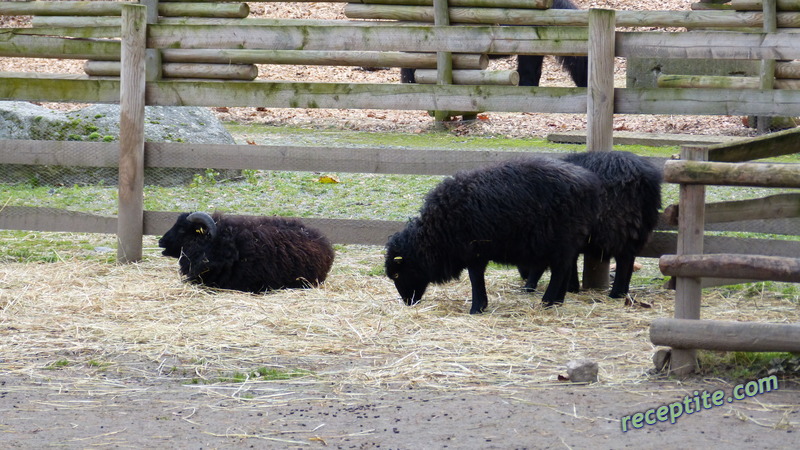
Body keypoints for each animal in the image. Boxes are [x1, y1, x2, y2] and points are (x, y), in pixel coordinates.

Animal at [382, 157, 600, 312]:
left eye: (397, 273)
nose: (408, 302)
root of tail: (587, 182)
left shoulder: (474, 251)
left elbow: (475, 278)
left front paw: (477, 307)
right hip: (568, 240)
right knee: (567, 267)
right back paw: (558, 300)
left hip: (561, 239)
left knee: (560, 270)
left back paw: (547, 301)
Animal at [520, 151, 664, 298]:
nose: (524, 275)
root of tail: (644, 176)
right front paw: (572, 287)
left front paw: (531, 286)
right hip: (640, 226)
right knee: (630, 257)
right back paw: (624, 291)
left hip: (617, 224)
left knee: (624, 258)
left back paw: (616, 293)